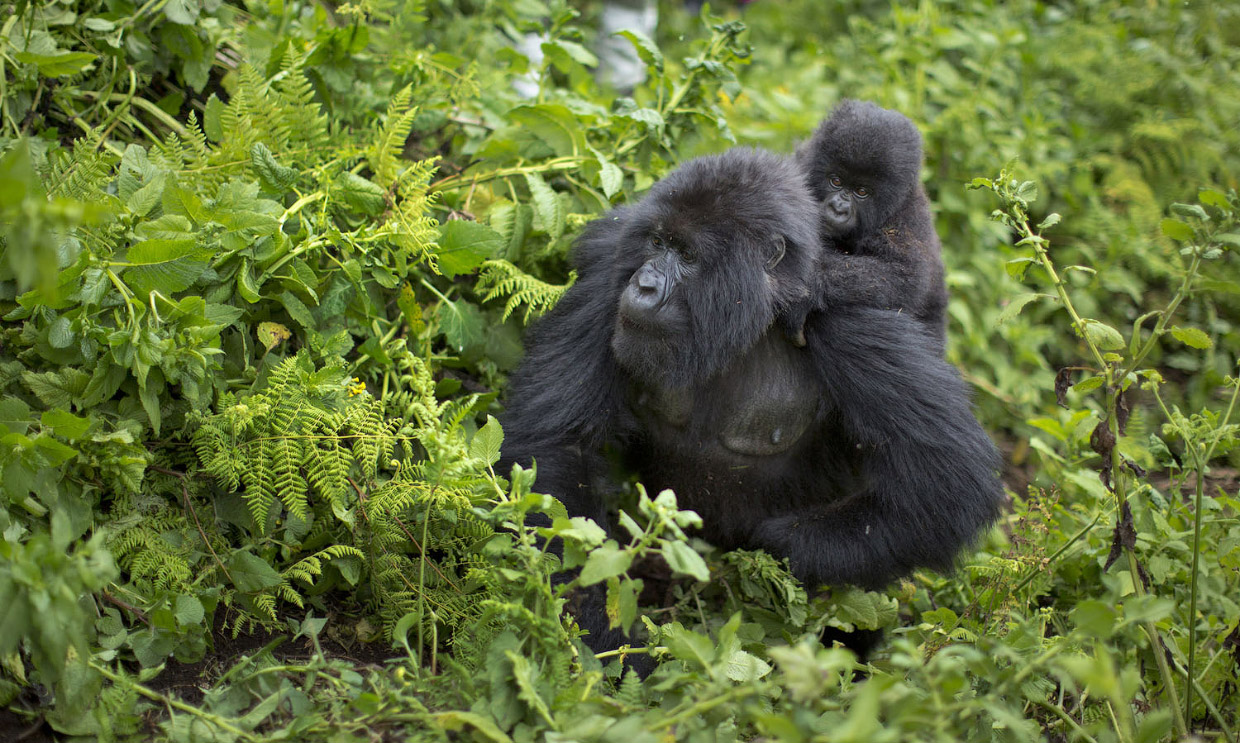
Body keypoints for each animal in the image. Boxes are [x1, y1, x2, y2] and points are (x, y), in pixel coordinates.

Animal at [793, 100, 947, 352]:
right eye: (836, 181)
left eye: (862, 192)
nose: (838, 208)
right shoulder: (802, 162)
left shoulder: (907, 220)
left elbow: (902, 277)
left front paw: (811, 281)